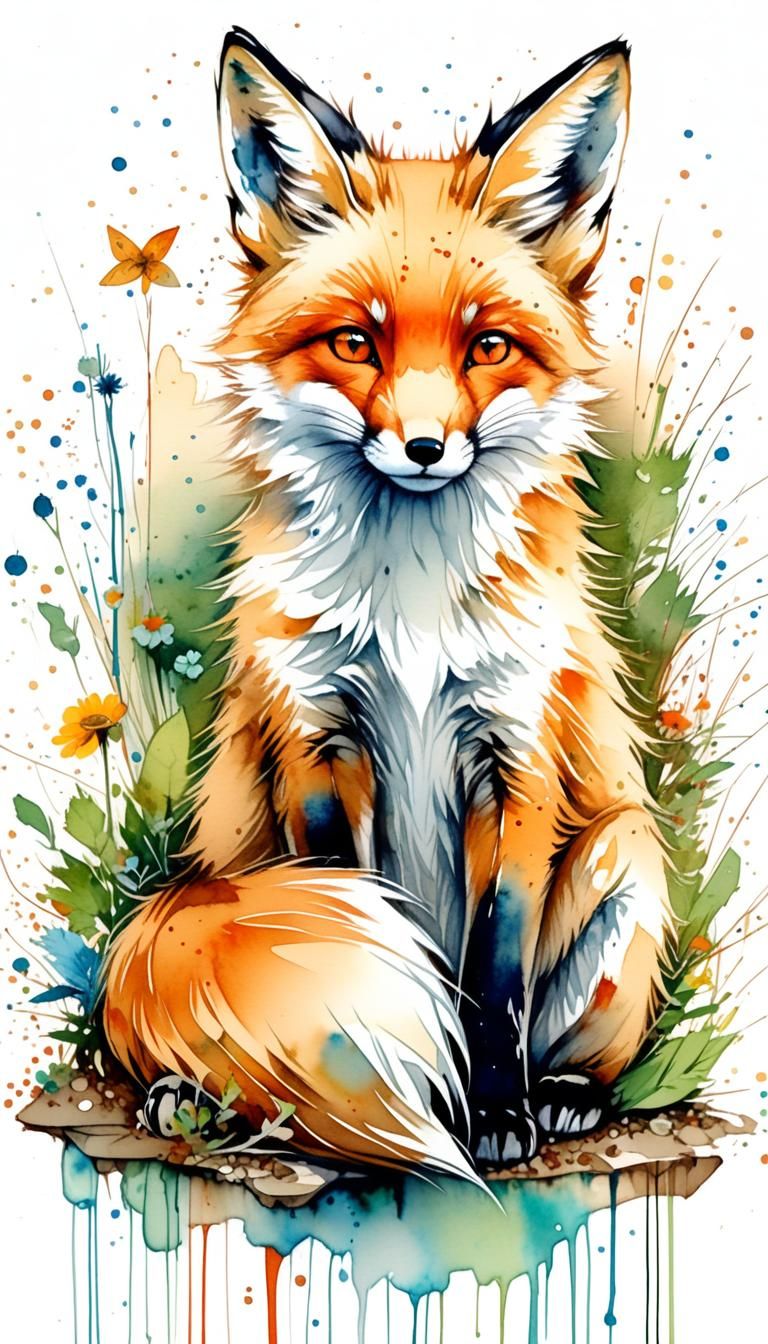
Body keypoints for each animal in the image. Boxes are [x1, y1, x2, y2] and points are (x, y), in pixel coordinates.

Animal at [104, 28, 673, 1180]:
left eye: (487, 346)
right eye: (356, 343)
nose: (421, 448)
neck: (410, 612)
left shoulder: (517, 760)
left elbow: (492, 974)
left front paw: (493, 1110)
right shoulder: (317, 743)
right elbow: (346, 925)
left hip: (624, 857)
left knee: (579, 1031)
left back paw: (564, 1093)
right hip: (210, 881)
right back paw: (200, 1096)